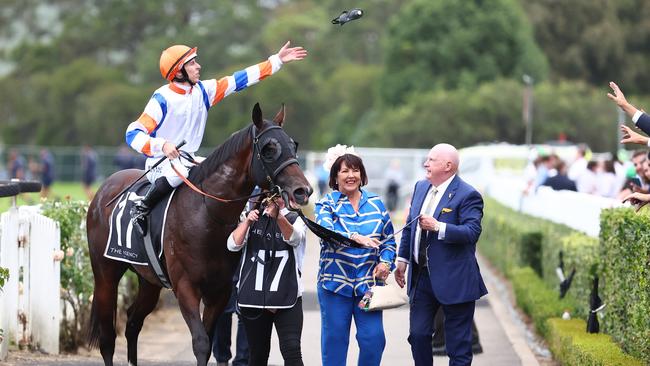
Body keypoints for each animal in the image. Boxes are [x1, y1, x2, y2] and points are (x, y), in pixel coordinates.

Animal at [85, 103, 312, 366]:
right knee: (107, 337)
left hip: (149, 279)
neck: (207, 215)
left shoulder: (220, 290)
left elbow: (209, 338)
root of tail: (104, 188)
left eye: (293, 145)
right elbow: (202, 342)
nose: (302, 191)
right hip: (105, 274)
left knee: (132, 322)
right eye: (269, 149)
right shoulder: (186, 286)